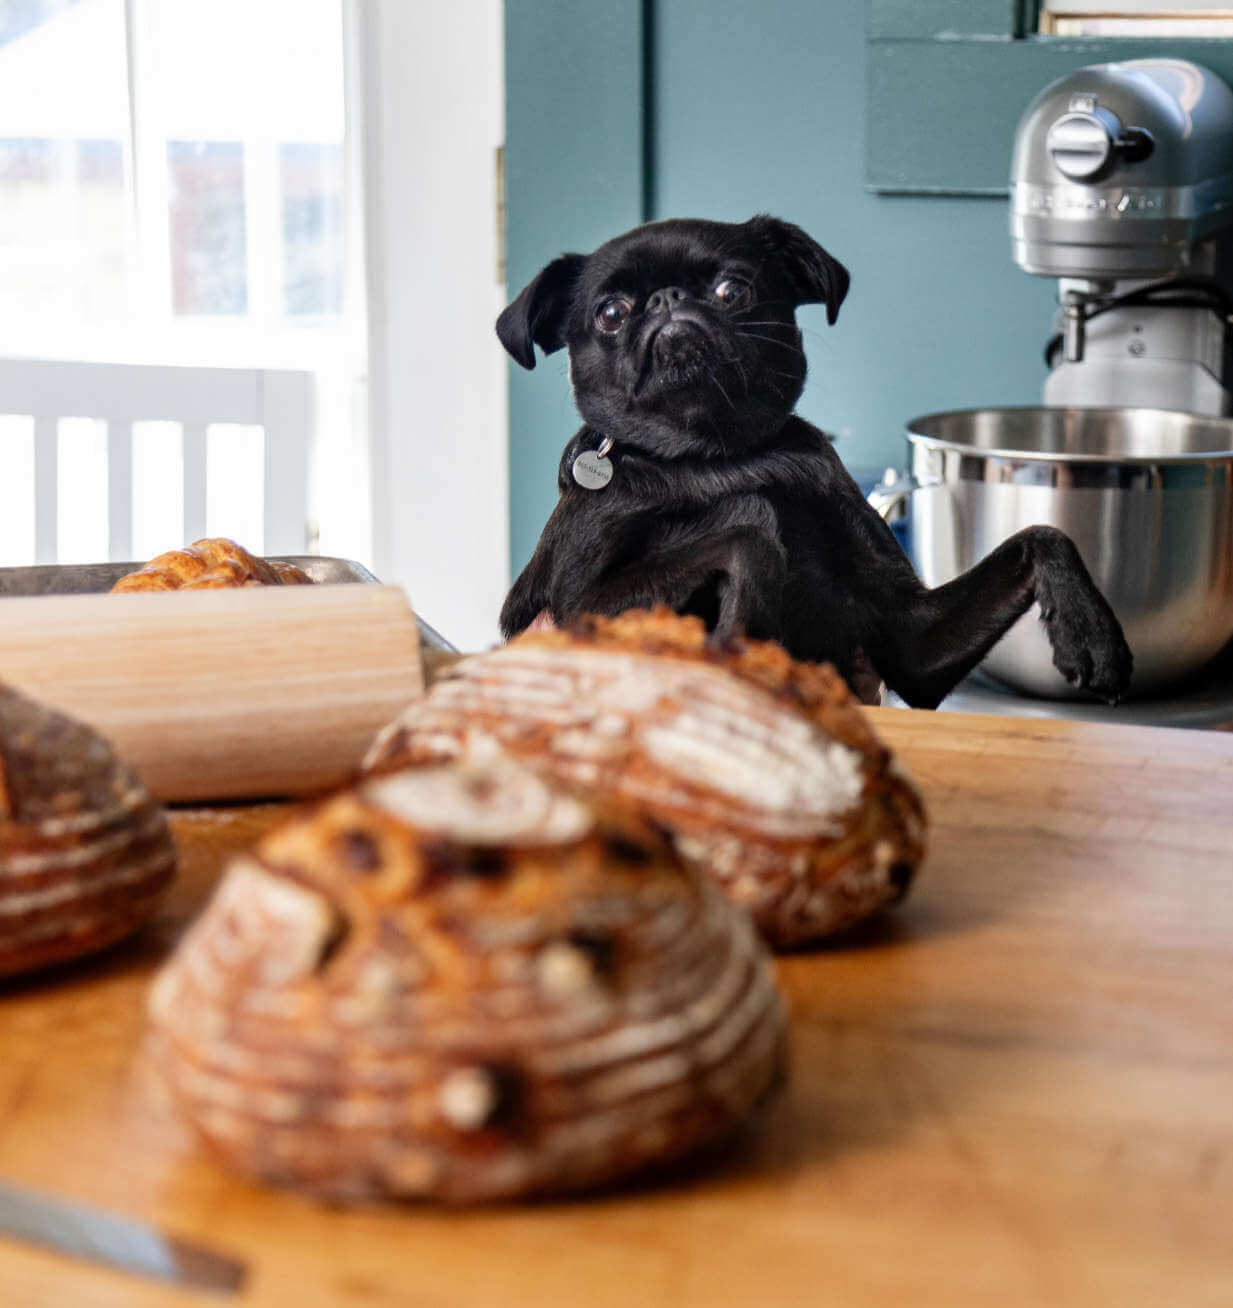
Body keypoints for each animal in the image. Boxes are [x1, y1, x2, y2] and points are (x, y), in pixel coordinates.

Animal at [491, 217, 1129, 706]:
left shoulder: (913, 647)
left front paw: (1092, 632)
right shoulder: (575, 607)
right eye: (611, 314)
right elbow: (748, 531)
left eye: (732, 291)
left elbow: (1042, 535)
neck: (718, 459)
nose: (668, 302)